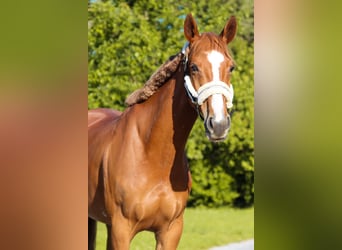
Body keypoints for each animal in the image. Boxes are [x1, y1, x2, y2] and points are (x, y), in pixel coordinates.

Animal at [88, 14, 236, 250]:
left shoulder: (170, 231)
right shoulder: (120, 231)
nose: (219, 124)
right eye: (194, 67)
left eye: (231, 68)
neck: (152, 154)